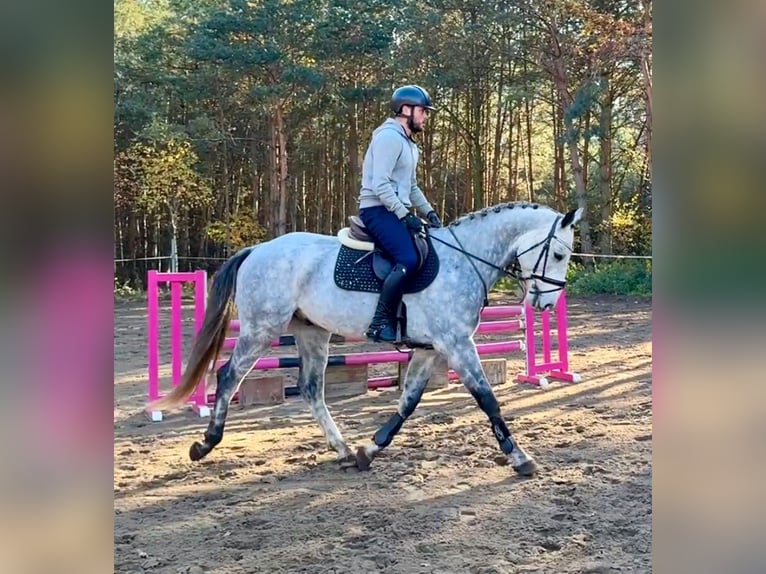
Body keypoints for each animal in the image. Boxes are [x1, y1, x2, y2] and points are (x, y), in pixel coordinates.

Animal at [148, 202, 584, 476]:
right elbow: (487, 399)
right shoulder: (457, 344)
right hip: (261, 329)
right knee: (228, 376)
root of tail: (257, 250)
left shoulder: (431, 350)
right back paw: (205, 443)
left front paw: (369, 449)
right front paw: (520, 457)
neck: (465, 260)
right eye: (560, 255)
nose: (545, 303)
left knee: (311, 388)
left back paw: (341, 449)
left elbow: (408, 403)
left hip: (312, 332)